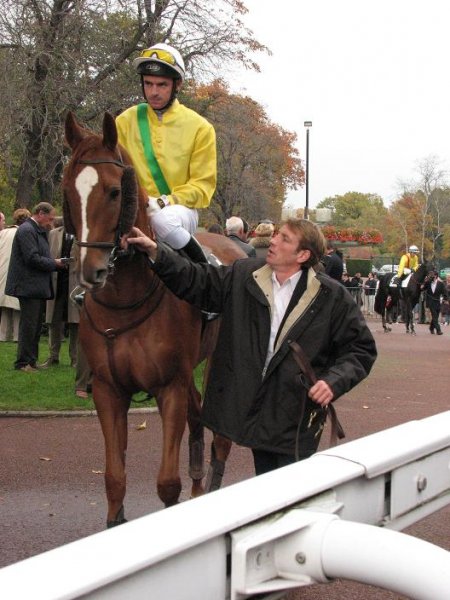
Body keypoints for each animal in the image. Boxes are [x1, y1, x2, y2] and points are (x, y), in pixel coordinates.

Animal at [62, 111, 244, 524]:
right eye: (68, 191)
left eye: (115, 191)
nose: (92, 270)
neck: (124, 301)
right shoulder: (109, 390)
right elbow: (114, 478)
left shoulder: (169, 387)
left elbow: (167, 483)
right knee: (198, 416)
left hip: (216, 363)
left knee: (220, 434)